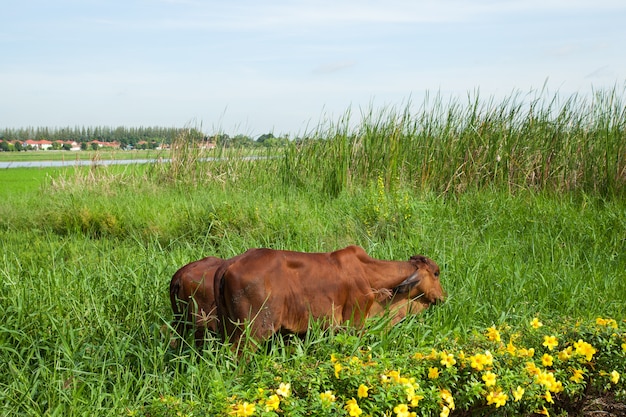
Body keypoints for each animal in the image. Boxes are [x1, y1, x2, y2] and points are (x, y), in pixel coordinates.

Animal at [214, 245, 444, 346]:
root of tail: (230, 263)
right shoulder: (354, 325)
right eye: (436, 273)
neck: (370, 274)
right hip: (251, 332)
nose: (443, 297)